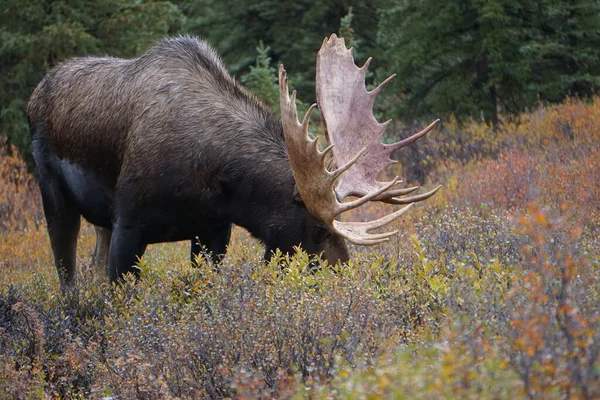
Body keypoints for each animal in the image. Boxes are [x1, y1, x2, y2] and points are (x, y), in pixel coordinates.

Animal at [27, 34, 440, 290]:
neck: (216, 181)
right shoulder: (129, 223)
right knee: (67, 276)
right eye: (320, 230)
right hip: (54, 193)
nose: (344, 277)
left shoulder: (214, 231)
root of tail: (36, 93)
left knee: (91, 267)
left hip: (100, 220)